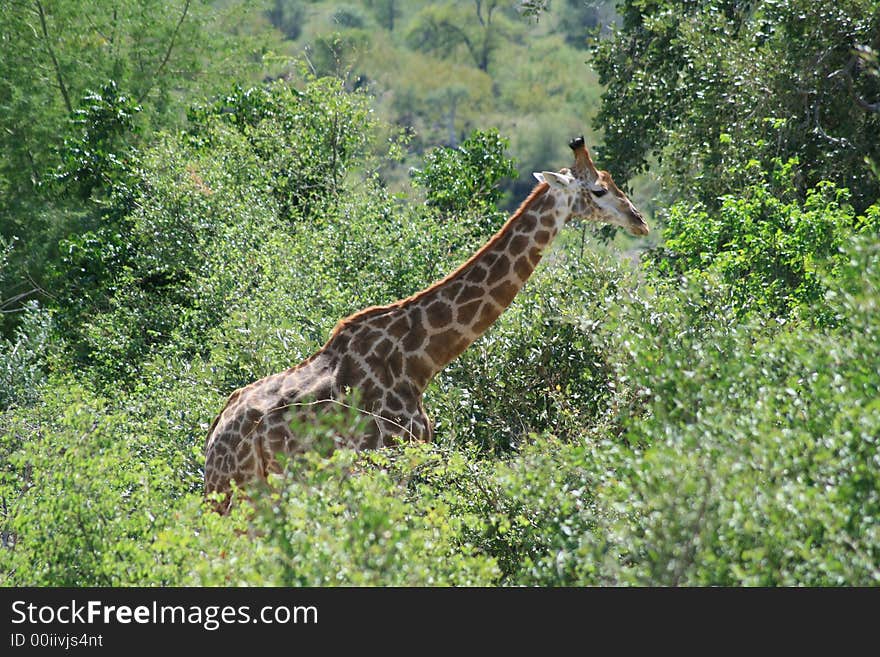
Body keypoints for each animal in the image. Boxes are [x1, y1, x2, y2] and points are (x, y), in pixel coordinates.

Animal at [205, 135, 648, 512]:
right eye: (598, 190)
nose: (639, 220)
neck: (420, 359)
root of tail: (211, 439)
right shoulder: (385, 463)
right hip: (238, 491)